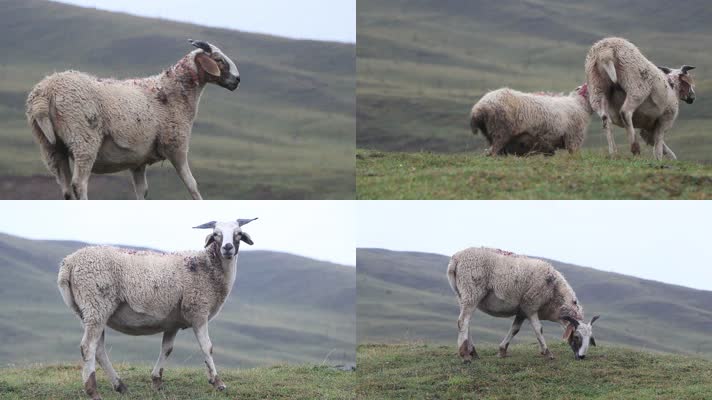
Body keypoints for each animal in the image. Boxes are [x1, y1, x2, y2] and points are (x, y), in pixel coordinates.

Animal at [26, 39, 241, 199]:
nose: (238, 80)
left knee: (66, 189)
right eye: (218, 59)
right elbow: (192, 185)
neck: (174, 91)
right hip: (84, 139)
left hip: (51, 146)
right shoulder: (176, 145)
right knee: (79, 184)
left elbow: (142, 191)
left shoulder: (138, 160)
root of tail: (46, 90)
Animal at [57, 219, 256, 400]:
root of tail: (69, 263)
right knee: (88, 347)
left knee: (99, 350)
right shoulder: (198, 310)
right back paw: (93, 391)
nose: (228, 248)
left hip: (88, 312)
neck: (207, 268)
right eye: (216, 234)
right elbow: (207, 347)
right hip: (96, 304)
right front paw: (217, 382)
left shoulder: (172, 322)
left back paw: (120, 386)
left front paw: (157, 381)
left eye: (238, 233)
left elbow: (166, 349)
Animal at [448, 247, 596, 362]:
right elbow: (538, 329)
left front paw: (502, 350)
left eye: (590, 338)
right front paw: (547, 352)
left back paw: (472, 352)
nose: (582, 357)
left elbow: (515, 329)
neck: (554, 293)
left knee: (466, 323)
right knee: (463, 321)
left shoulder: (522, 310)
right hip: (471, 291)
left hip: (462, 295)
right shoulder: (531, 305)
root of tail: (456, 259)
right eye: (576, 337)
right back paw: (465, 355)